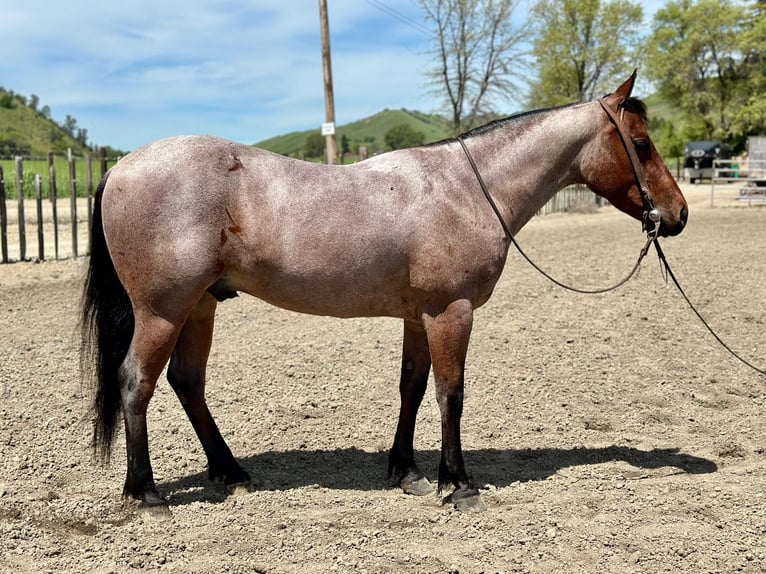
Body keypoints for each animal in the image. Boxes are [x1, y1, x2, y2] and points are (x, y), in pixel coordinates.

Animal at [82, 73, 688, 516]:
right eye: (640, 144)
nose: (678, 214)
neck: (466, 189)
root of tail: (122, 167)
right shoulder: (451, 313)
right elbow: (451, 395)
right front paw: (458, 485)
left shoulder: (420, 317)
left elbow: (413, 389)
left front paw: (408, 473)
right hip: (162, 311)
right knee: (136, 383)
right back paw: (148, 494)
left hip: (200, 306)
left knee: (188, 383)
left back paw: (231, 474)